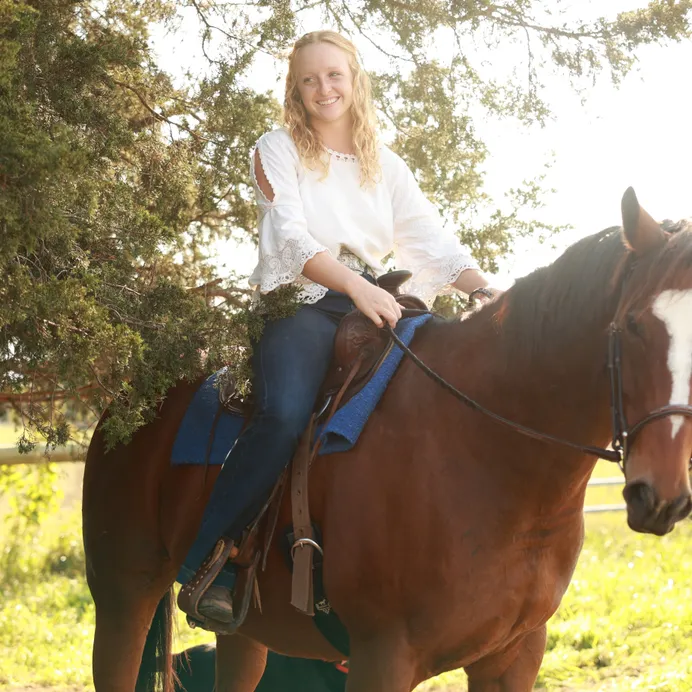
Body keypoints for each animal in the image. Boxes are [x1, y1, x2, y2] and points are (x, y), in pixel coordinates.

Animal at [84, 187, 692, 688]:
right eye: (633, 325)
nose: (659, 496)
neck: (487, 450)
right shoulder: (383, 657)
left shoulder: (514, 655)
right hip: (123, 598)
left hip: (245, 634)